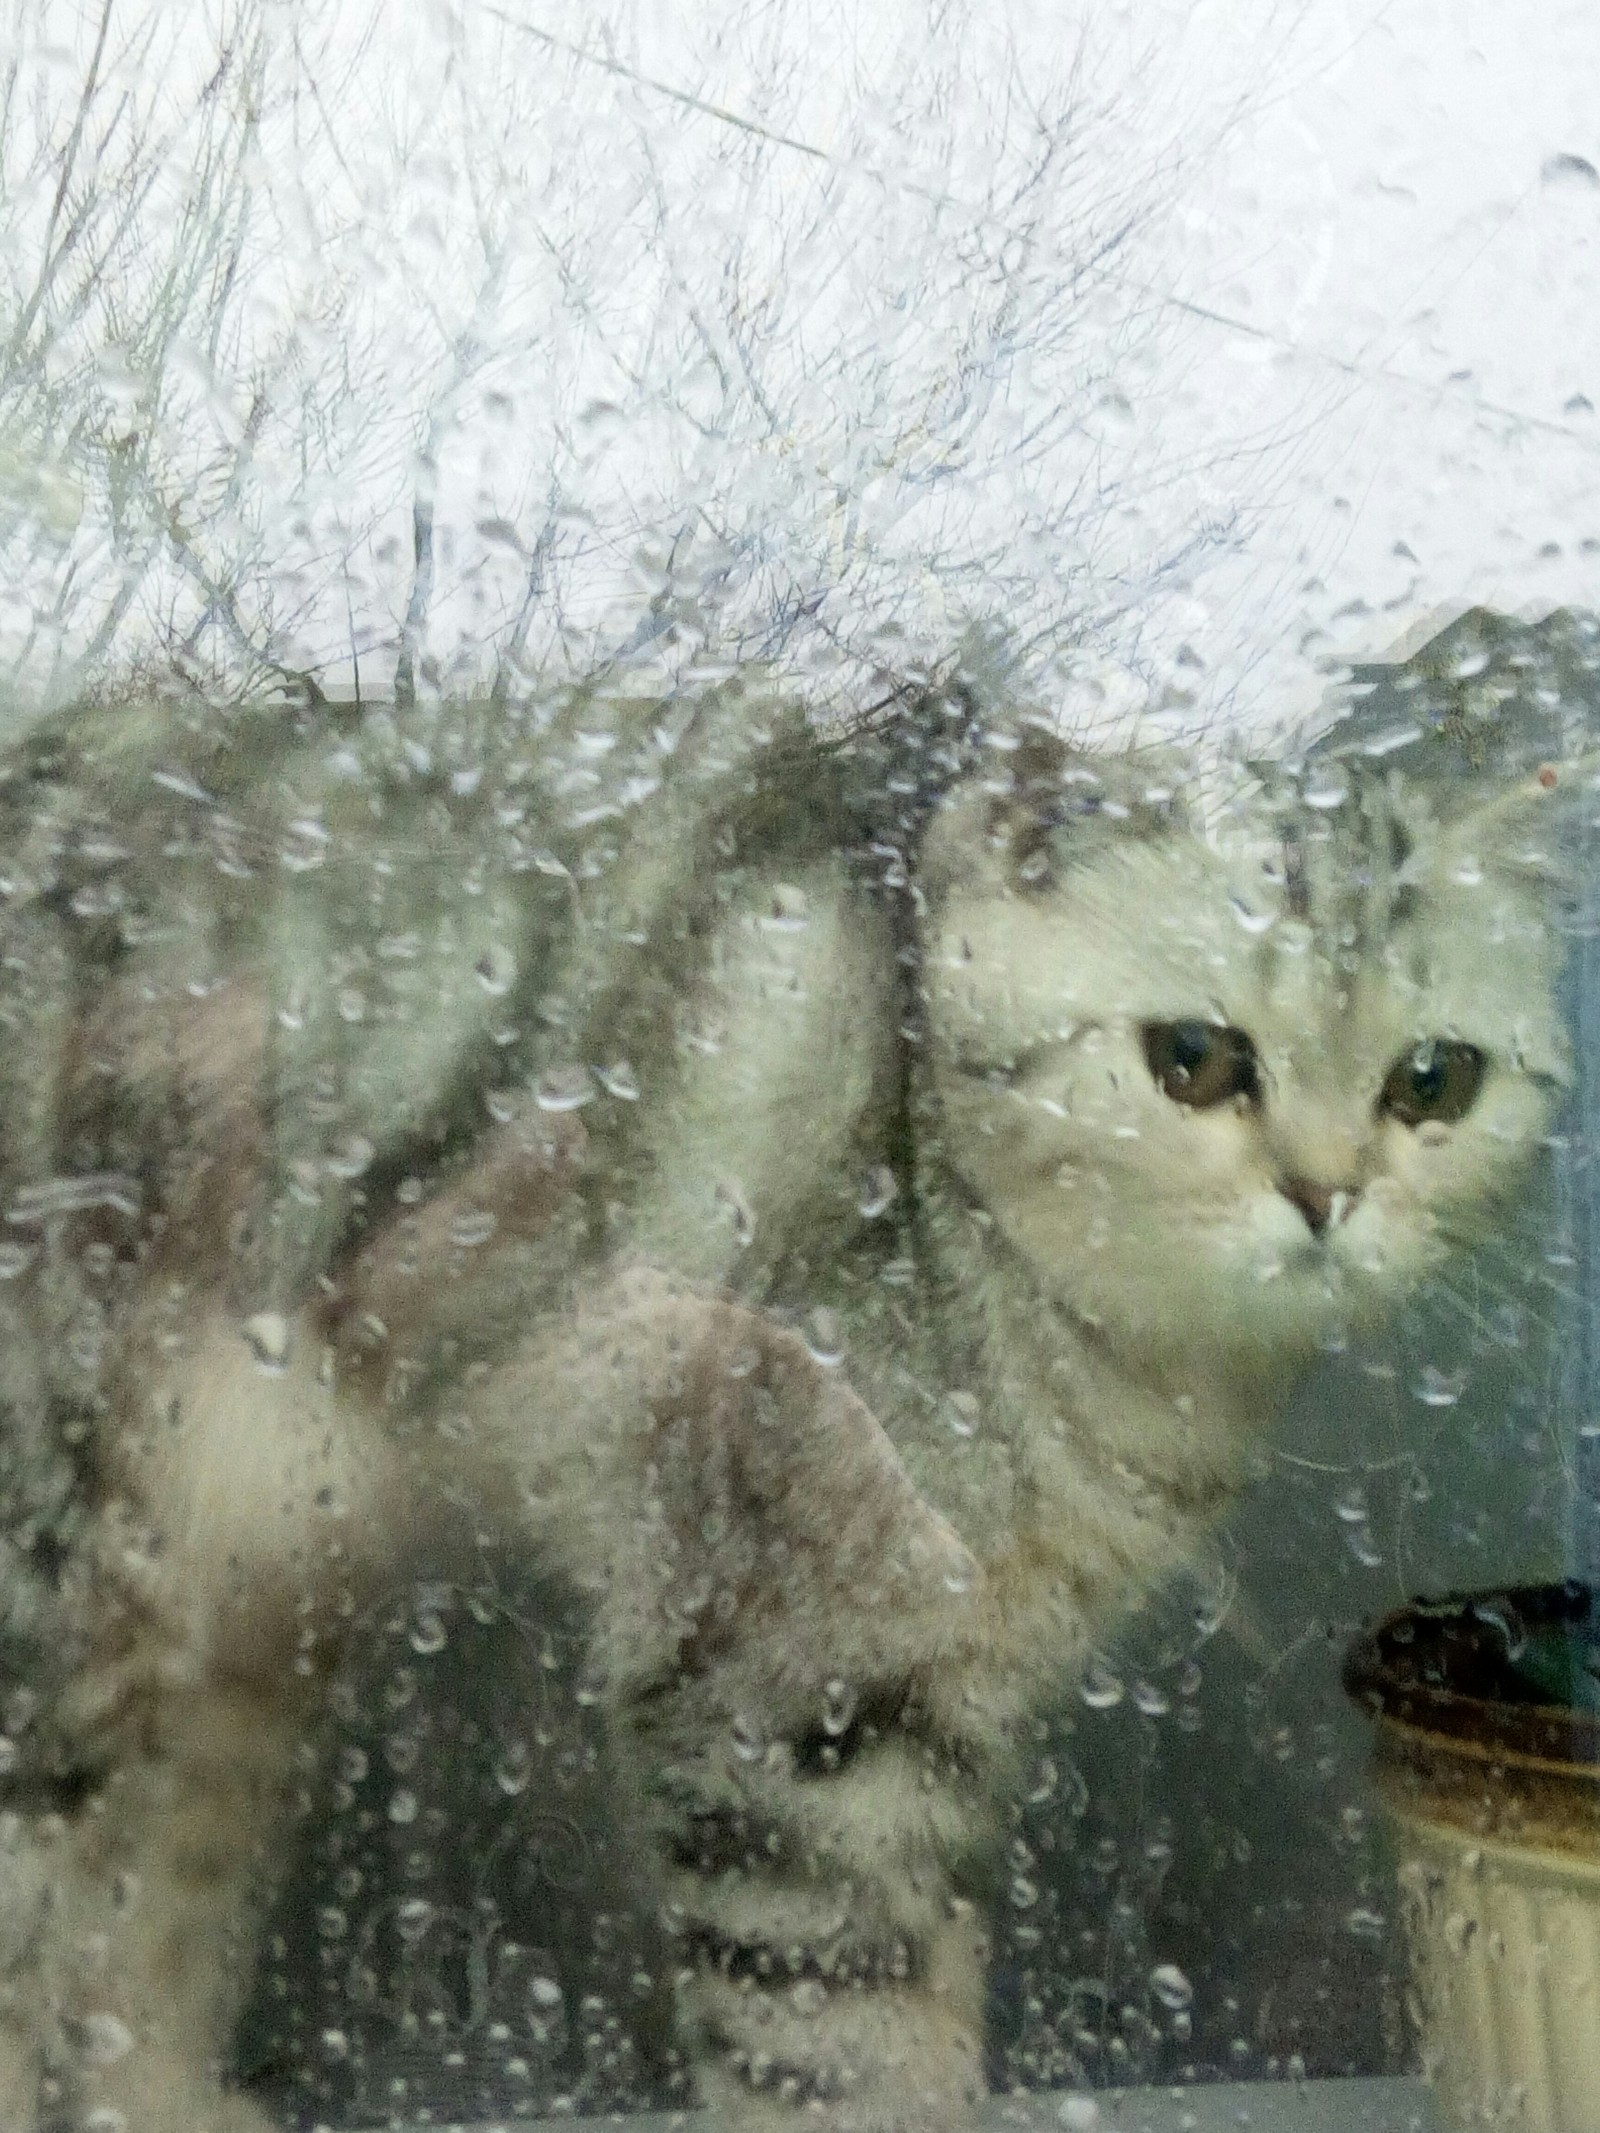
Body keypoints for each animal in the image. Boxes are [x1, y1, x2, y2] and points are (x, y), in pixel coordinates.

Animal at [0, 656, 1578, 2124]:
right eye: (1193, 1058)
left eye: (1433, 1080)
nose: (1327, 1195)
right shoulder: (792, 1694)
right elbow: (835, 2037)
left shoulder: (942, 1713)